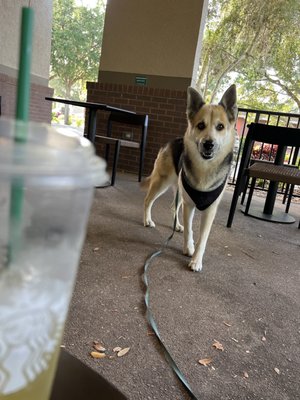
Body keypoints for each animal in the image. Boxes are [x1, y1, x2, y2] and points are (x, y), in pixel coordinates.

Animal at [141, 84, 237, 272]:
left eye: (220, 127)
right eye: (201, 125)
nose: (209, 144)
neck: (205, 168)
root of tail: (172, 141)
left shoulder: (209, 210)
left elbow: (203, 238)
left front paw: (196, 260)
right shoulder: (189, 205)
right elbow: (190, 230)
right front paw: (188, 247)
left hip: (179, 191)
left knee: (173, 207)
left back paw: (177, 225)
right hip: (162, 183)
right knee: (148, 200)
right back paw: (147, 220)